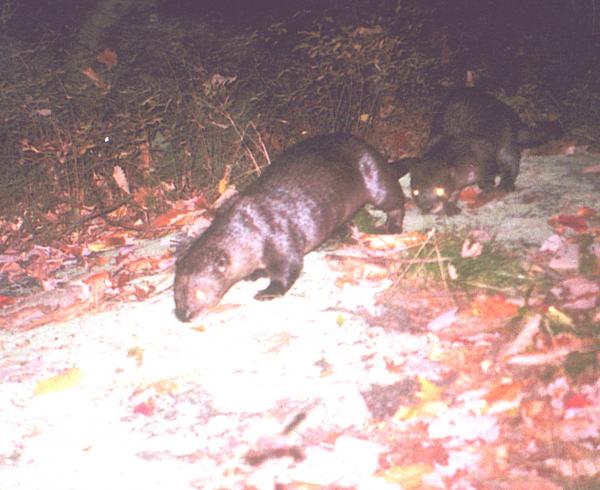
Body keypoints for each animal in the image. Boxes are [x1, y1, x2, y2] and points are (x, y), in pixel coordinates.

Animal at [175, 132, 408, 322]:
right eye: (176, 295)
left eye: (198, 293)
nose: (183, 315)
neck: (249, 229)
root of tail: (370, 149)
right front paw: (254, 274)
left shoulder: (280, 237)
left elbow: (288, 268)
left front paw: (267, 292)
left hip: (375, 179)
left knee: (395, 198)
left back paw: (392, 226)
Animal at [394, 88, 564, 214]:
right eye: (415, 192)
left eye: (440, 190)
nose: (428, 207)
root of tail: (514, 119)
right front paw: (450, 207)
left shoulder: (482, 154)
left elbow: (488, 173)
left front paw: (488, 187)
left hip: (507, 138)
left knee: (511, 162)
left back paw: (504, 186)